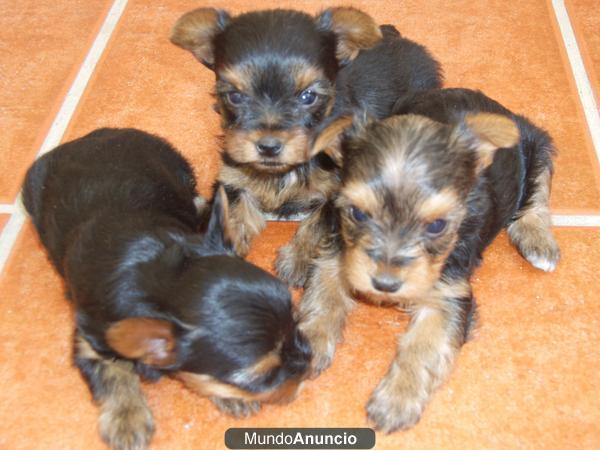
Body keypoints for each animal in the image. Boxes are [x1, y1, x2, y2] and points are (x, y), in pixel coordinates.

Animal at [21, 127, 312, 450]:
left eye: (295, 321)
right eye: (262, 378)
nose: (307, 361)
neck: (158, 274)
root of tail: (89, 137)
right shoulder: (90, 333)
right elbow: (111, 372)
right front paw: (127, 420)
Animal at [169, 7, 440, 278]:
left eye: (308, 96)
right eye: (235, 96)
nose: (268, 146)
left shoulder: (340, 188)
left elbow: (318, 221)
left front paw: (296, 261)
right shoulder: (233, 176)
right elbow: (231, 209)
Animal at [300, 89, 564, 432]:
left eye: (437, 225)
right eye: (357, 213)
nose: (385, 283)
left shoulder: (448, 292)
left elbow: (425, 343)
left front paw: (397, 399)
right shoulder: (340, 255)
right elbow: (324, 295)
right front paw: (309, 341)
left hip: (534, 142)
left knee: (539, 185)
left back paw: (538, 240)